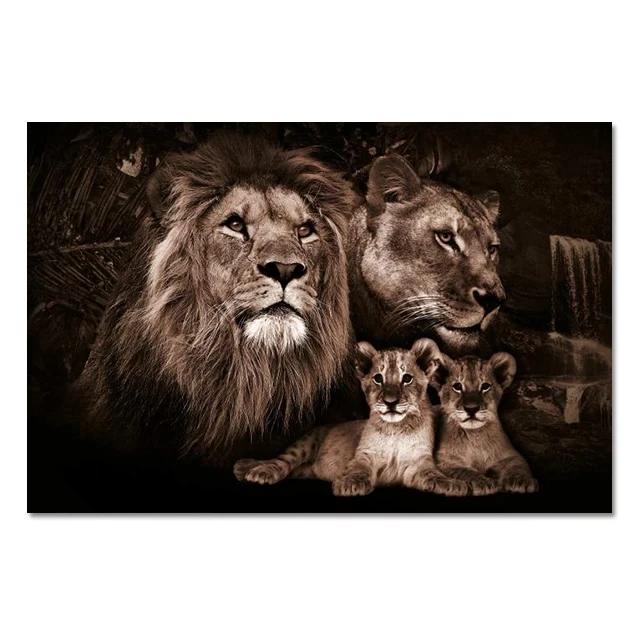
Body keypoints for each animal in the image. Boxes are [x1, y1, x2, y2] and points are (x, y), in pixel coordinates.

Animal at [234, 339, 467, 497]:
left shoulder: (418, 463)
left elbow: (433, 475)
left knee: (295, 470)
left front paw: (453, 484)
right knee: (282, 461)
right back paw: (256, 469)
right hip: (305, 442)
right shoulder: (364, 455)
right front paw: (349, 484)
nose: (390, 402)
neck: (395, 429)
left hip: (307, 469)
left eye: (407, 378)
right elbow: (358, 469)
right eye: (378, 378)